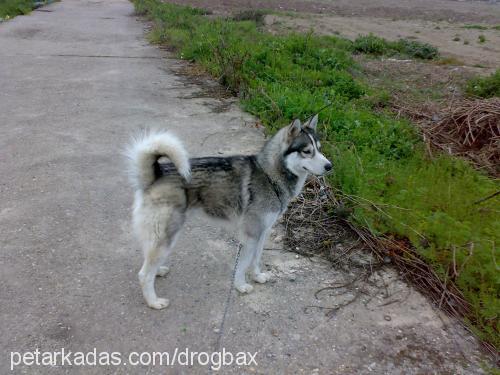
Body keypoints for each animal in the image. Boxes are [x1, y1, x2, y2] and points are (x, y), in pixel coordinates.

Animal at [128, 116, 332, 310]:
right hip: (167, 234)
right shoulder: (251, 235)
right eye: (307, 151)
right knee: (144, 274)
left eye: (320, 149)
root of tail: (157, 173)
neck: (269, 174)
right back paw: (154, 301)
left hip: (160, 234)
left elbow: (256, 259)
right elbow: (243, 264)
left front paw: (257, 276)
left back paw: (158, 270)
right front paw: (241, 286)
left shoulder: (263, 232)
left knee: (148, 258)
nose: (330, 166)